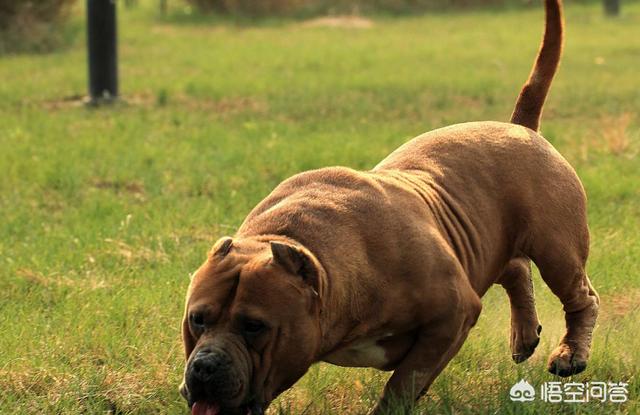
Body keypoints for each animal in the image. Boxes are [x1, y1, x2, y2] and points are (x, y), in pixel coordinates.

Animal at [179, 1, 600, 414]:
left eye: (255, 326)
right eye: (197, 320)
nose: (204, 365)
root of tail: (520, 127)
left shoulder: (453, 315)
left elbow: (404, 382)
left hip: (555, 248)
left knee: (579, 296)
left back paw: (570, 354)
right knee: (515, 269)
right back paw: (524, 336)